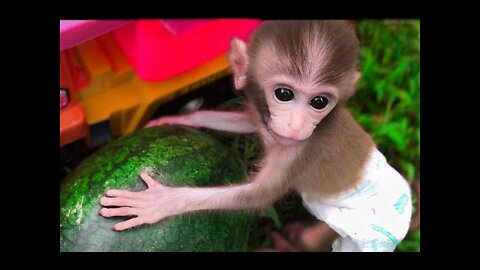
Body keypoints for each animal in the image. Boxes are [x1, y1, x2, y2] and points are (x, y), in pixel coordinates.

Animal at [98, 20, 412, 252]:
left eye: (319, 102)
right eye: (284, 94)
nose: (297, 126)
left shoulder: (300, 152)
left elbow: (256, 196)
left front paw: (163, 202)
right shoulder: (265, 121)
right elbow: (245, 121)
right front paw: (176, 118)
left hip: (374, 230)